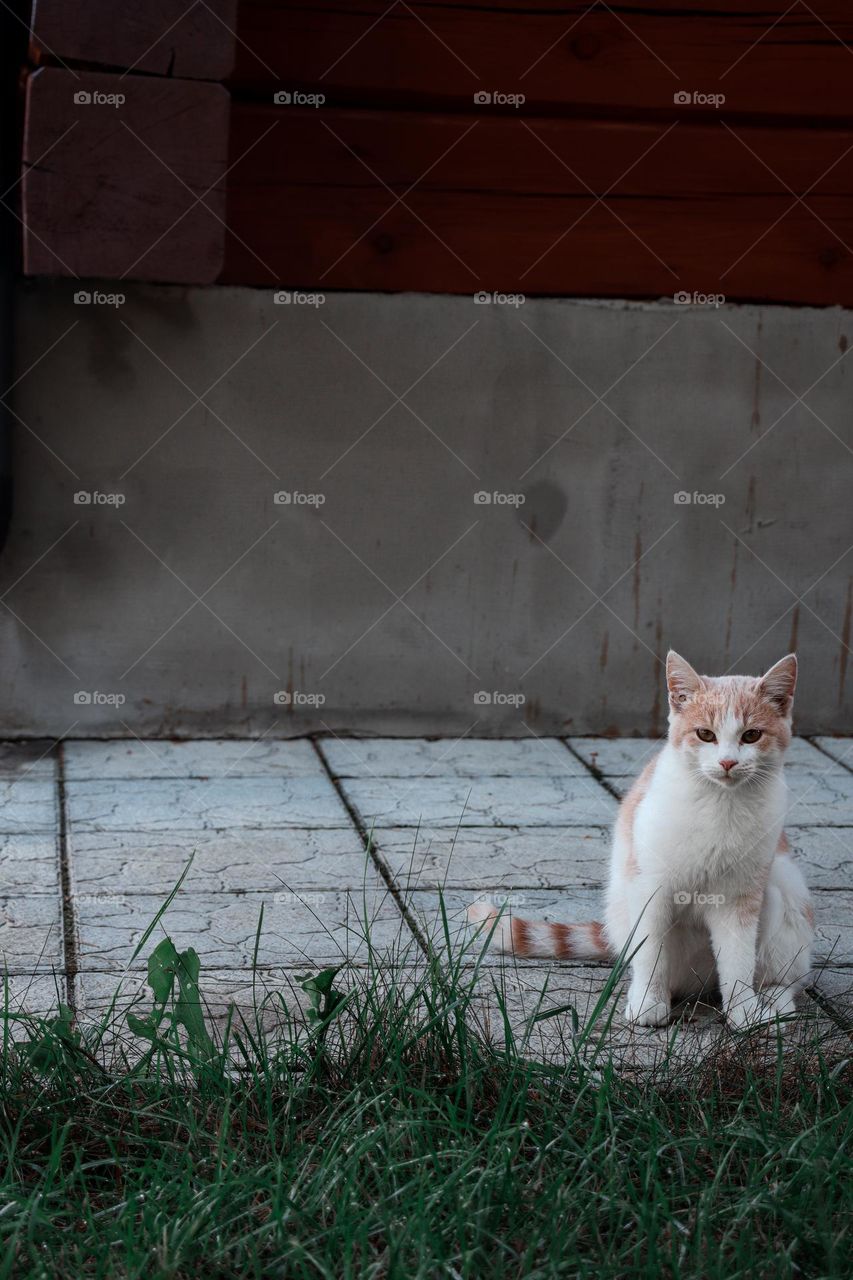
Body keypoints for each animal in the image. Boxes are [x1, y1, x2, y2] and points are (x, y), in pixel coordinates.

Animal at [468, 655, 814, 1024]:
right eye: (705, 734)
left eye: (751, 735)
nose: (727, 762)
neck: (721, 803)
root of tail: (703, 985)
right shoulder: (649, 888)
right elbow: (650, 952)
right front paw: (649, 1002)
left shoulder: (740, 897)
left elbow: (738, 959)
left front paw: (744, 1012)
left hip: (782, 893)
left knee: (784, 976)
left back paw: (773, 1001)